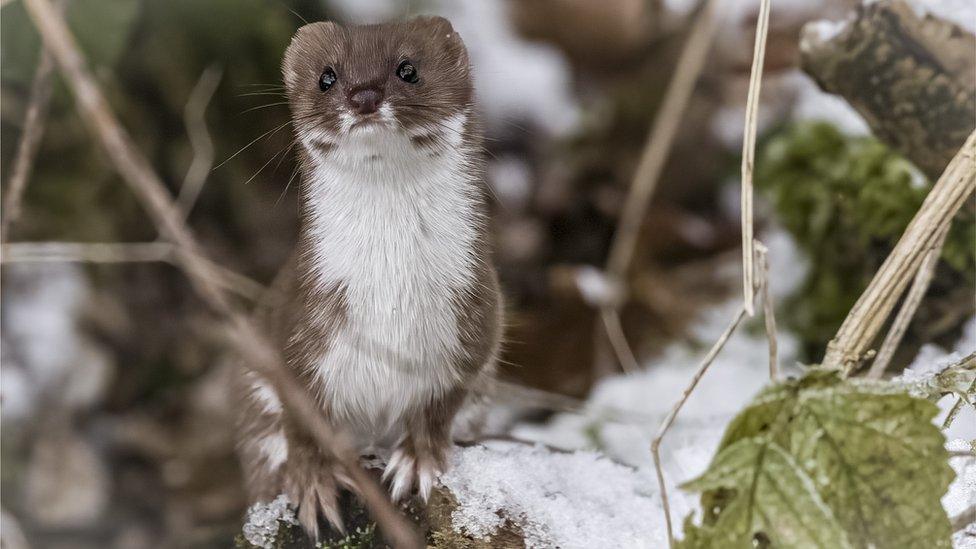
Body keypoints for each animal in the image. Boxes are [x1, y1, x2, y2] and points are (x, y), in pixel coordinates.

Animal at [233, 15, 500, 536]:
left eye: (407, 69)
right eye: (327, 76)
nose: (363, 95)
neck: (389, 286)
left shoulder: (477, 315)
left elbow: (443, 402)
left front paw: (416, 461)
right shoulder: (297, 321)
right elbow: (301, 420)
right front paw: (314, 484)